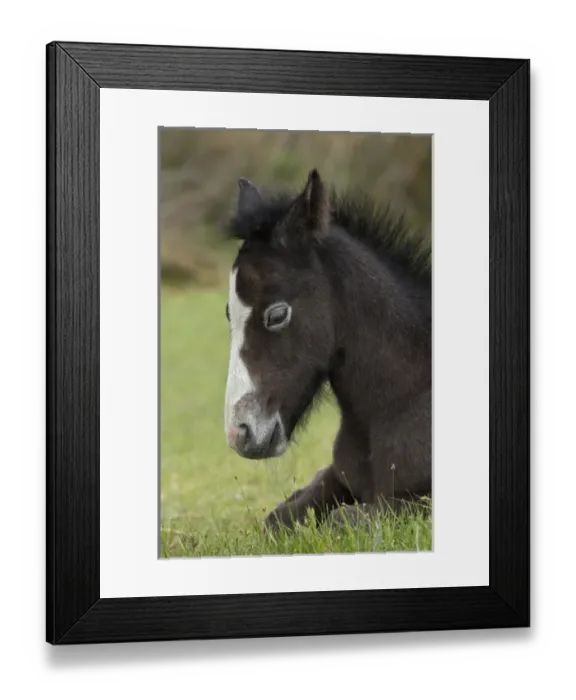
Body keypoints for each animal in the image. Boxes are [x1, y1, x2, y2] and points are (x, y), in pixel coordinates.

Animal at [223, 168, 431, 530]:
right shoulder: (337, 476)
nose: (239, 433)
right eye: (228, 313)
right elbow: (279, 519)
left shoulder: (417, 503)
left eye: (277, 315)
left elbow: (340, 519)